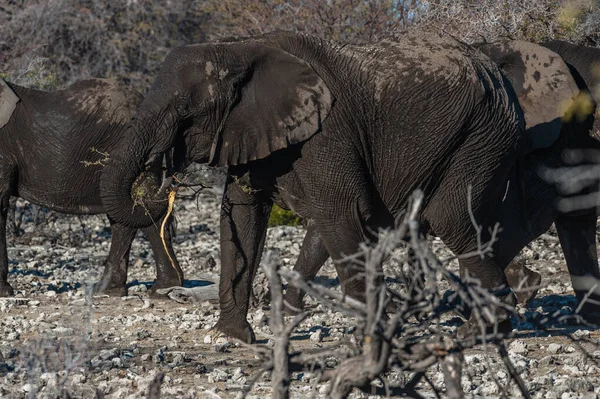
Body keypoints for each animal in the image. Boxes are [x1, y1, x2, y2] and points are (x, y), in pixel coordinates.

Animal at [101, 31, 528, 344]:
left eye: (185, 113)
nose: (163, 175)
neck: (237, 48)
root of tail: (499, 75)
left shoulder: (327, 133)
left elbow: (341, 214)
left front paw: (366, 345)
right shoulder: (253, 131)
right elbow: (242, 217)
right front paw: (234, 337)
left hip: (483, 134)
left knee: (452, 220)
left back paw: (481, 330)